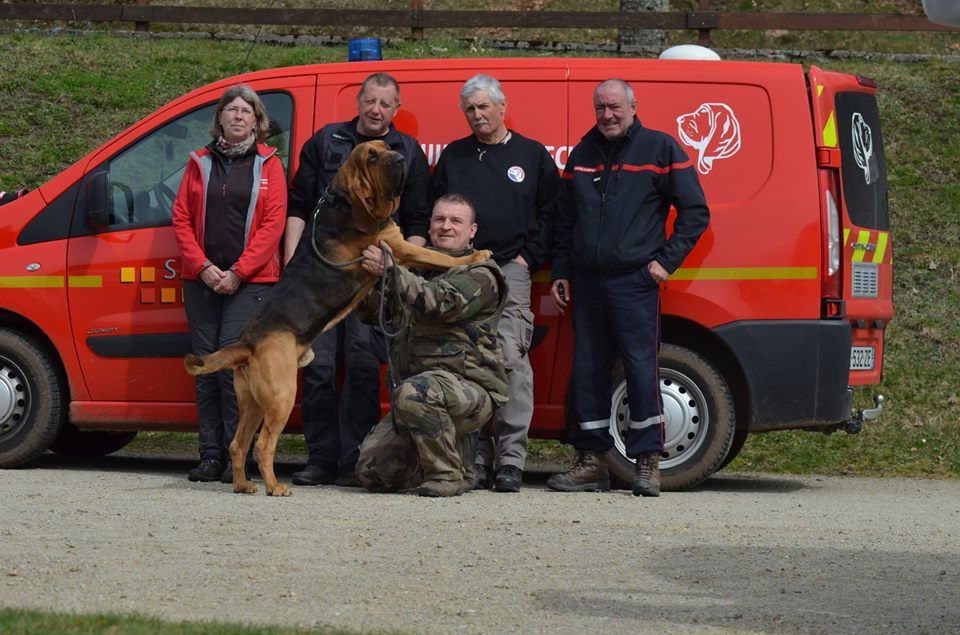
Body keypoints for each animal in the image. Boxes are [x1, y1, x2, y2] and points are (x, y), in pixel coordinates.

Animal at [185, 143, 492, 496]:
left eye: (388, 147)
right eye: (371, 156)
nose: (401, 159)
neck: (345, 204)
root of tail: (247, 342)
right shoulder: (398, 248)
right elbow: (440, 255)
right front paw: (476, 255)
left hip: (251, 402)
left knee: (238, 444)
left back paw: (243, 485)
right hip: (281, 397)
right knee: (263, 446)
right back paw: (275, 487)